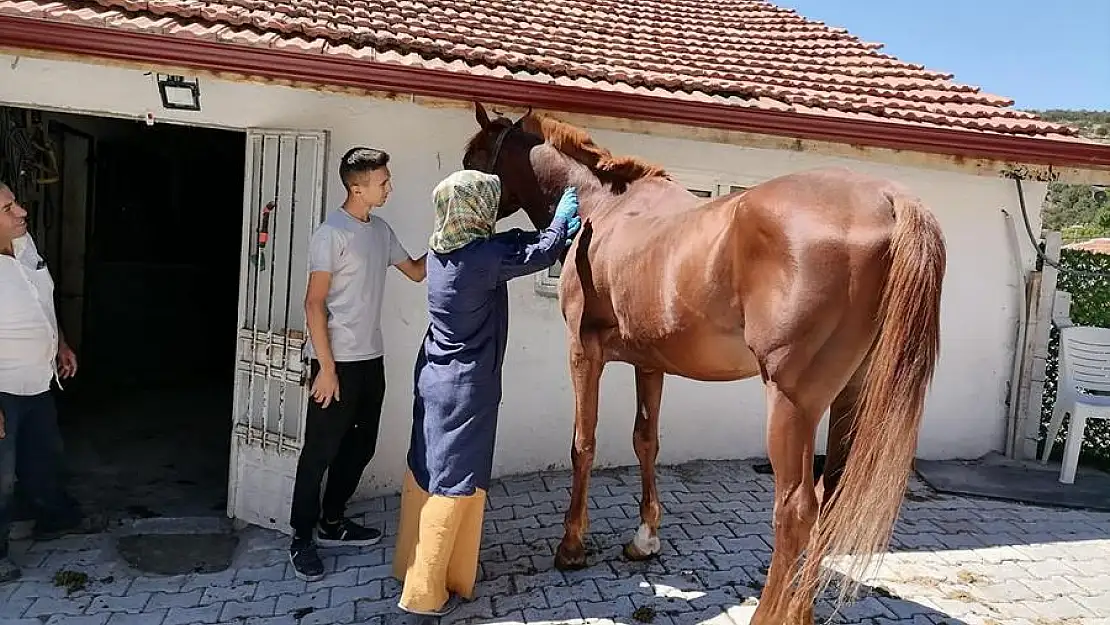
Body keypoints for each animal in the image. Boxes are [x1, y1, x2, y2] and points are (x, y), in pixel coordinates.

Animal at [459, 104, 945, 621]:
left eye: (473, 159)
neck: (602, 209)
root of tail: (890, 199)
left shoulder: (582, 351)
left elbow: (582, 444)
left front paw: (571, 546)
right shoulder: (649, 363)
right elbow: (645, 440)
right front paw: (645, 540)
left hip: (792, 400)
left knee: (796, 507)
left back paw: (770, 612)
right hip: (851, 392)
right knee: (831, 494)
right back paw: (801, 610)